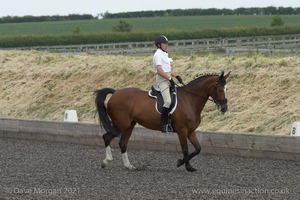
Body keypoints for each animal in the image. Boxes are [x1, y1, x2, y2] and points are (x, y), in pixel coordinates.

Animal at [95, 70, 231, 172]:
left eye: (226, 89)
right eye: (219, 89)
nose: (224, 108)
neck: (190, 100)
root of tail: (116, 92)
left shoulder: (191, 131)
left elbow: (198, 149)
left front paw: (180, 162)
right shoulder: (182, 131)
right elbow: (185, 149)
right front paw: (188, 167)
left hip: (130, 125)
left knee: (123, 143)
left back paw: (128, 166)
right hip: (121, 124)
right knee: (107, 137)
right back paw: (106, 161)